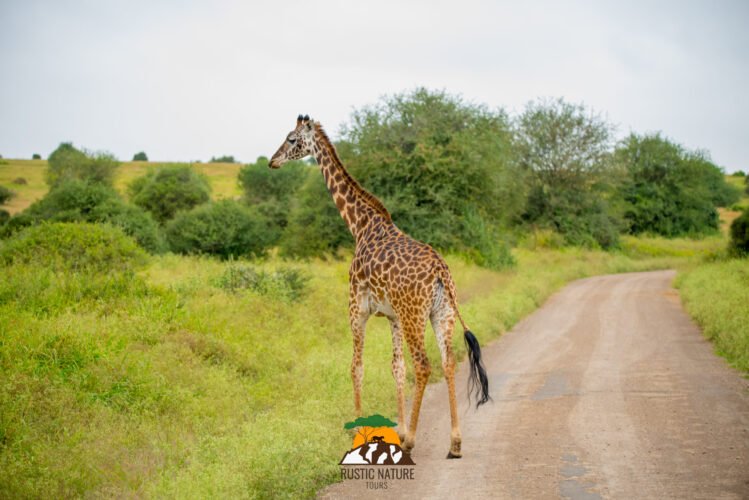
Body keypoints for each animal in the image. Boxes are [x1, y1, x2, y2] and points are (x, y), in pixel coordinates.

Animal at [270, 115, 490, 459]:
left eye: (292, 139)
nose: (272, 161)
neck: (359, 225)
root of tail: (441, 272)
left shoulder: (356, 308)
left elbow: (356, 367)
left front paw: (359, 430)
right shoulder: (392, 316)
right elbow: (396, 368)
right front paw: (397, 429)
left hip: (415, 315)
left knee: (424, 365)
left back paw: (413, 442)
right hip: (442, 314)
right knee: (448, 362)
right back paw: (454, 444)